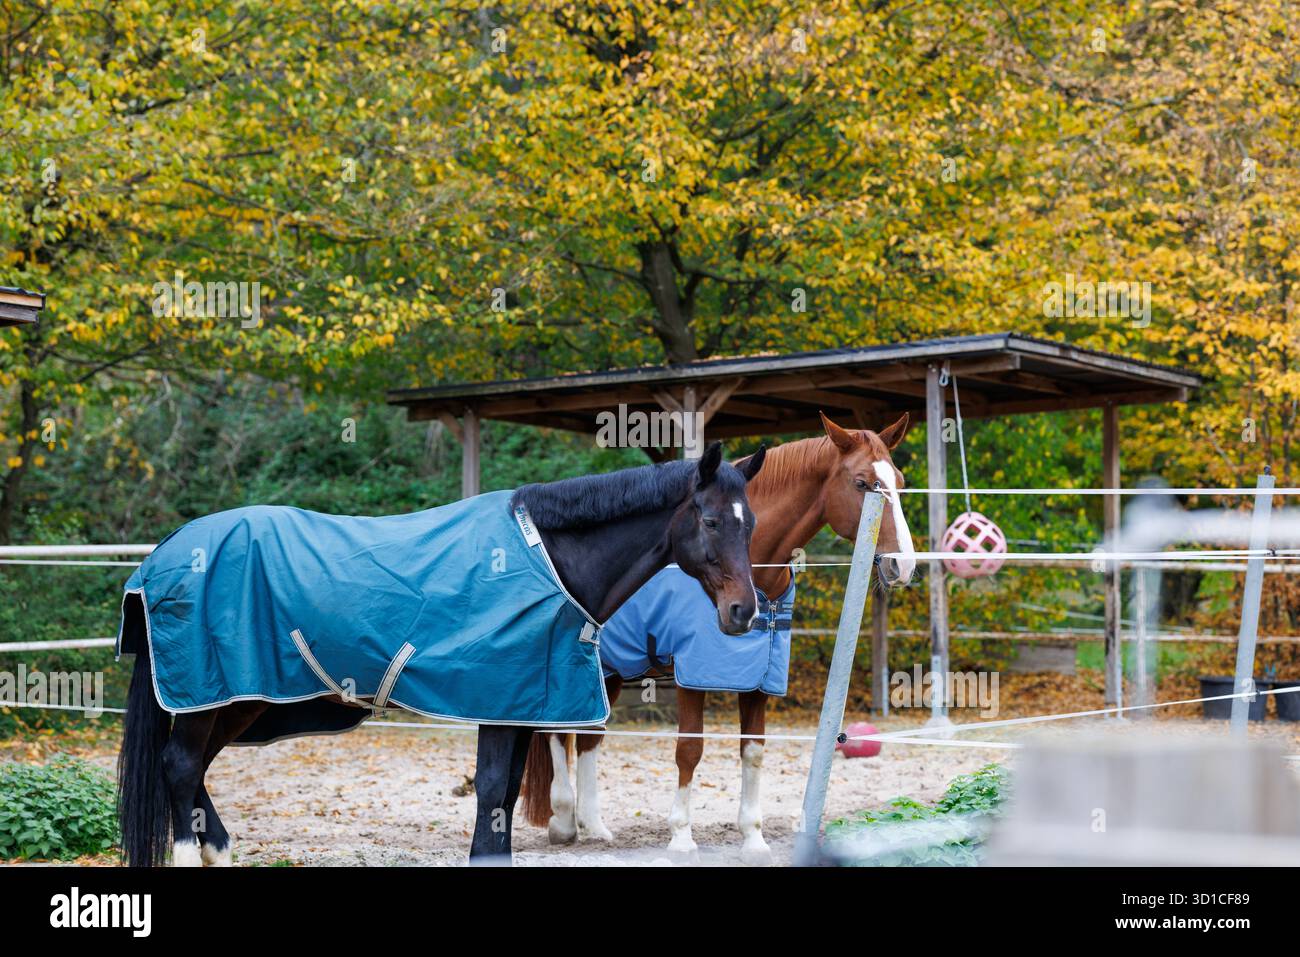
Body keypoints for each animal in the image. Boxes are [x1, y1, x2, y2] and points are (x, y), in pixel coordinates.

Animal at [116, 440, 766, 866]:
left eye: (751, 523)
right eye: (711, 521)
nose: (744, 612)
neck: (548, 560)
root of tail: (164, 553)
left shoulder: (522, 707)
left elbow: (506, 795)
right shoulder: (498, 703)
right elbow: (491, 792)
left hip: (239, 699)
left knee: (192, 767)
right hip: (209, 694)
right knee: (180, 765)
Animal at [522, 412, 915, 864]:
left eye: (900, 481)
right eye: (862, 483)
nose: (903, 565)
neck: (756, 576)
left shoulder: (759, 683)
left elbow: (754, 751)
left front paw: (754, 839)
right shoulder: (693, 676)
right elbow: (689, 750)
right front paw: (680, 837)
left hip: (611, 674)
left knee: (588, 737)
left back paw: (595, 826)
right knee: (558, 732)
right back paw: (564, 820)